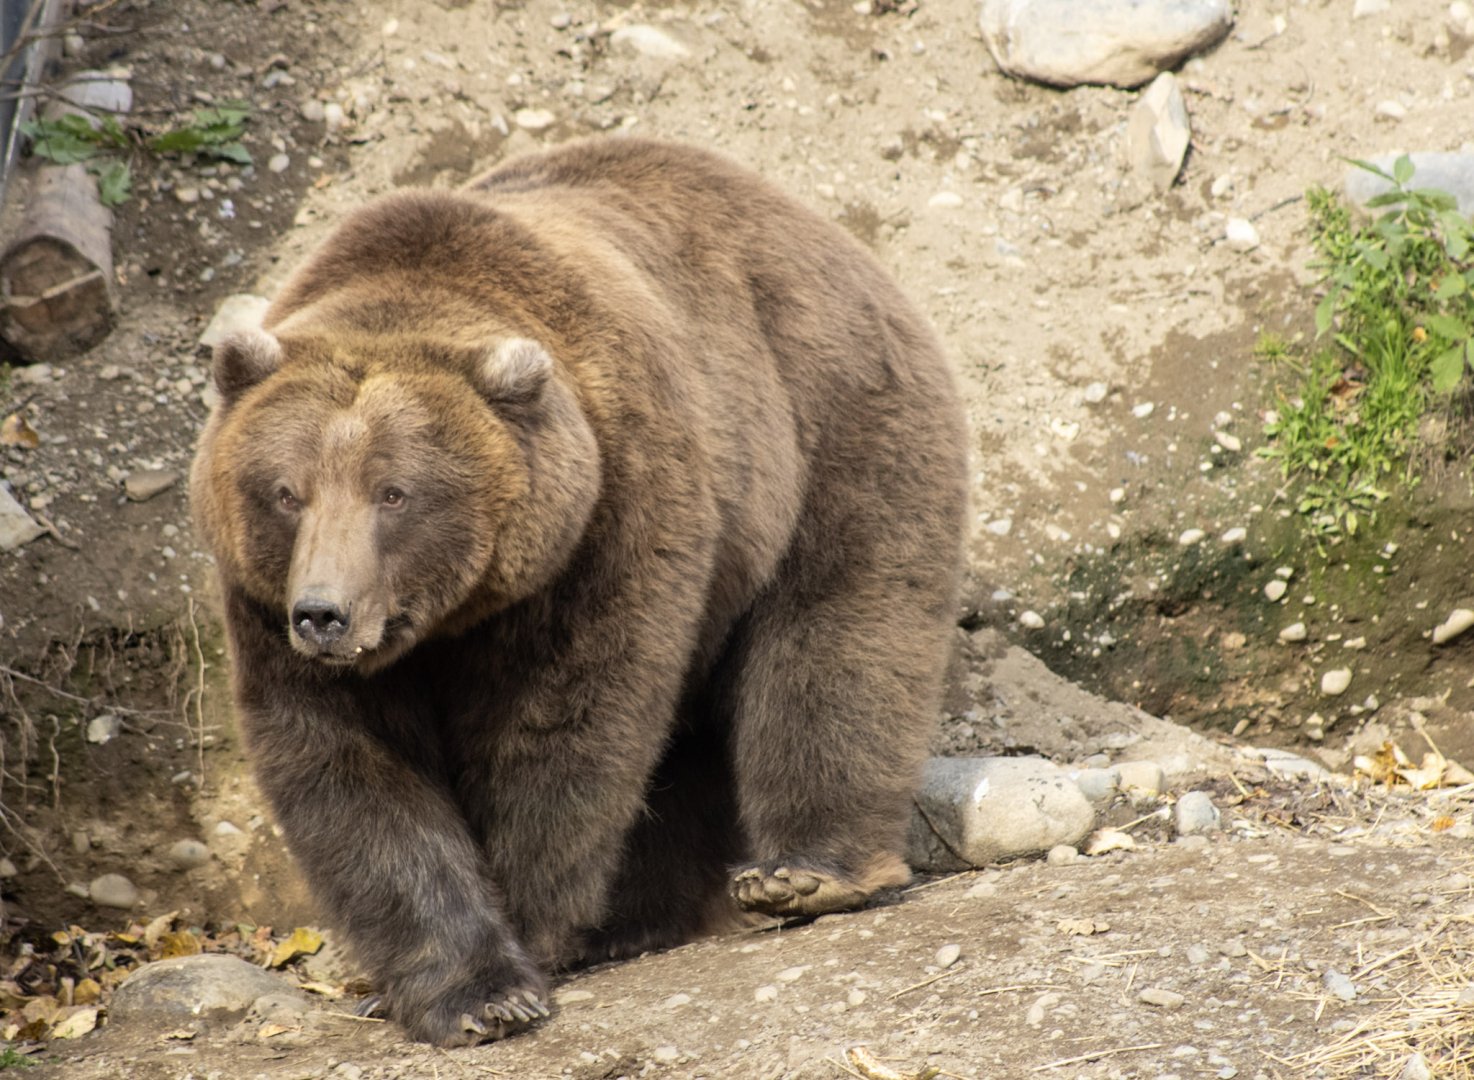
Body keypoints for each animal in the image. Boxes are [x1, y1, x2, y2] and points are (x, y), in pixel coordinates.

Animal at [190, 137, 968, 1047]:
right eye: (286, 491)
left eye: (395, 492)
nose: (323, 613)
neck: (454, 617)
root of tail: (822, 226)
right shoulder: (265, 604)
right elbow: (350, 769)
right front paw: (465, 989)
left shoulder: (606, 519)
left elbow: (563, 729)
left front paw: (526, 937)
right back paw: (644, 918)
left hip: (827, 419)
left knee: (838, 638)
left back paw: (807, 872)